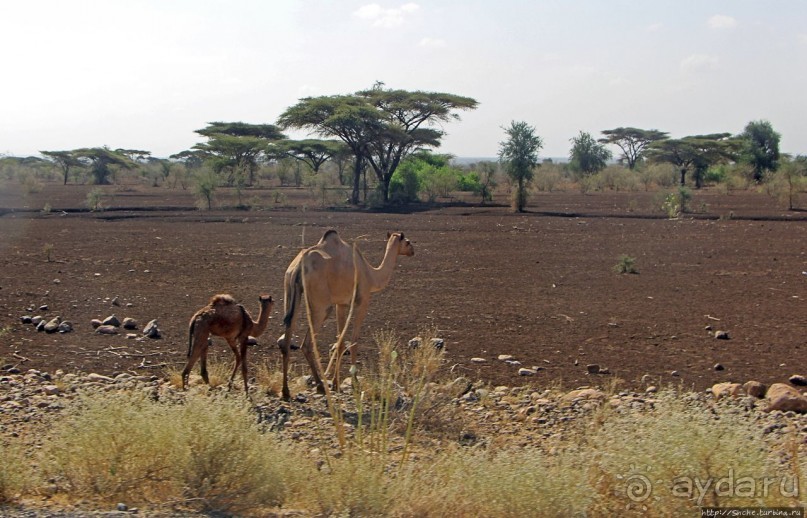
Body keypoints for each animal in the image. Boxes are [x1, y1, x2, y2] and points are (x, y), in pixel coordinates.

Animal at [280, 232, 416, 402]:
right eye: (408, 242)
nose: (413, 251)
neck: (372, 275)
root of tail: (298, 266)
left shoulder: (342, 304)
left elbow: (340, 343)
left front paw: (336, 383)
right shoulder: (362, 301)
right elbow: (354, 341)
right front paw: (354, 382)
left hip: (290, 290)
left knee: (287, 336)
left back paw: (286, 391)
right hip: (321, 304)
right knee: (306, 344)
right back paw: (319, 385)